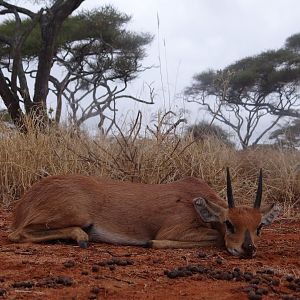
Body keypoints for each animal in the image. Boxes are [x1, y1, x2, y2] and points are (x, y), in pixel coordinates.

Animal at [9, 169, 282, 258]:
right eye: (229, 223)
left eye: (259, 226)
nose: (247, 249)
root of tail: (26, 200)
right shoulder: (175, 229)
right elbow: (216, 238)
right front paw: (151, 243)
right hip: (75, 216)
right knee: (17, 235)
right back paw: (83, 238)